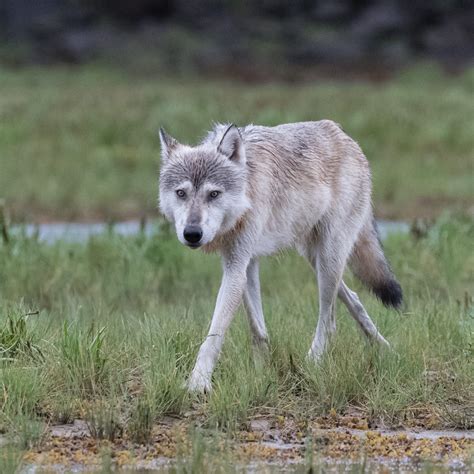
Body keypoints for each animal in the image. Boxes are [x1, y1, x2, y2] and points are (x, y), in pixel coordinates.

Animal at [157, 121, 402, 392]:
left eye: (213, 194)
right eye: (181, 193)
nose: (192, 234)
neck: (247, 188)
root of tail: (344, 136)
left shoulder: (236, 266)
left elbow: (214, 334)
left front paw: (198, 383)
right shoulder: (243, 264)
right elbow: (257, 329)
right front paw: (260, 373)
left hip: (329, 260)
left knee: (328, 320)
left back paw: (312, 362)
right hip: (315, 258)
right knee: (353, 298)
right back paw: (384, 348)